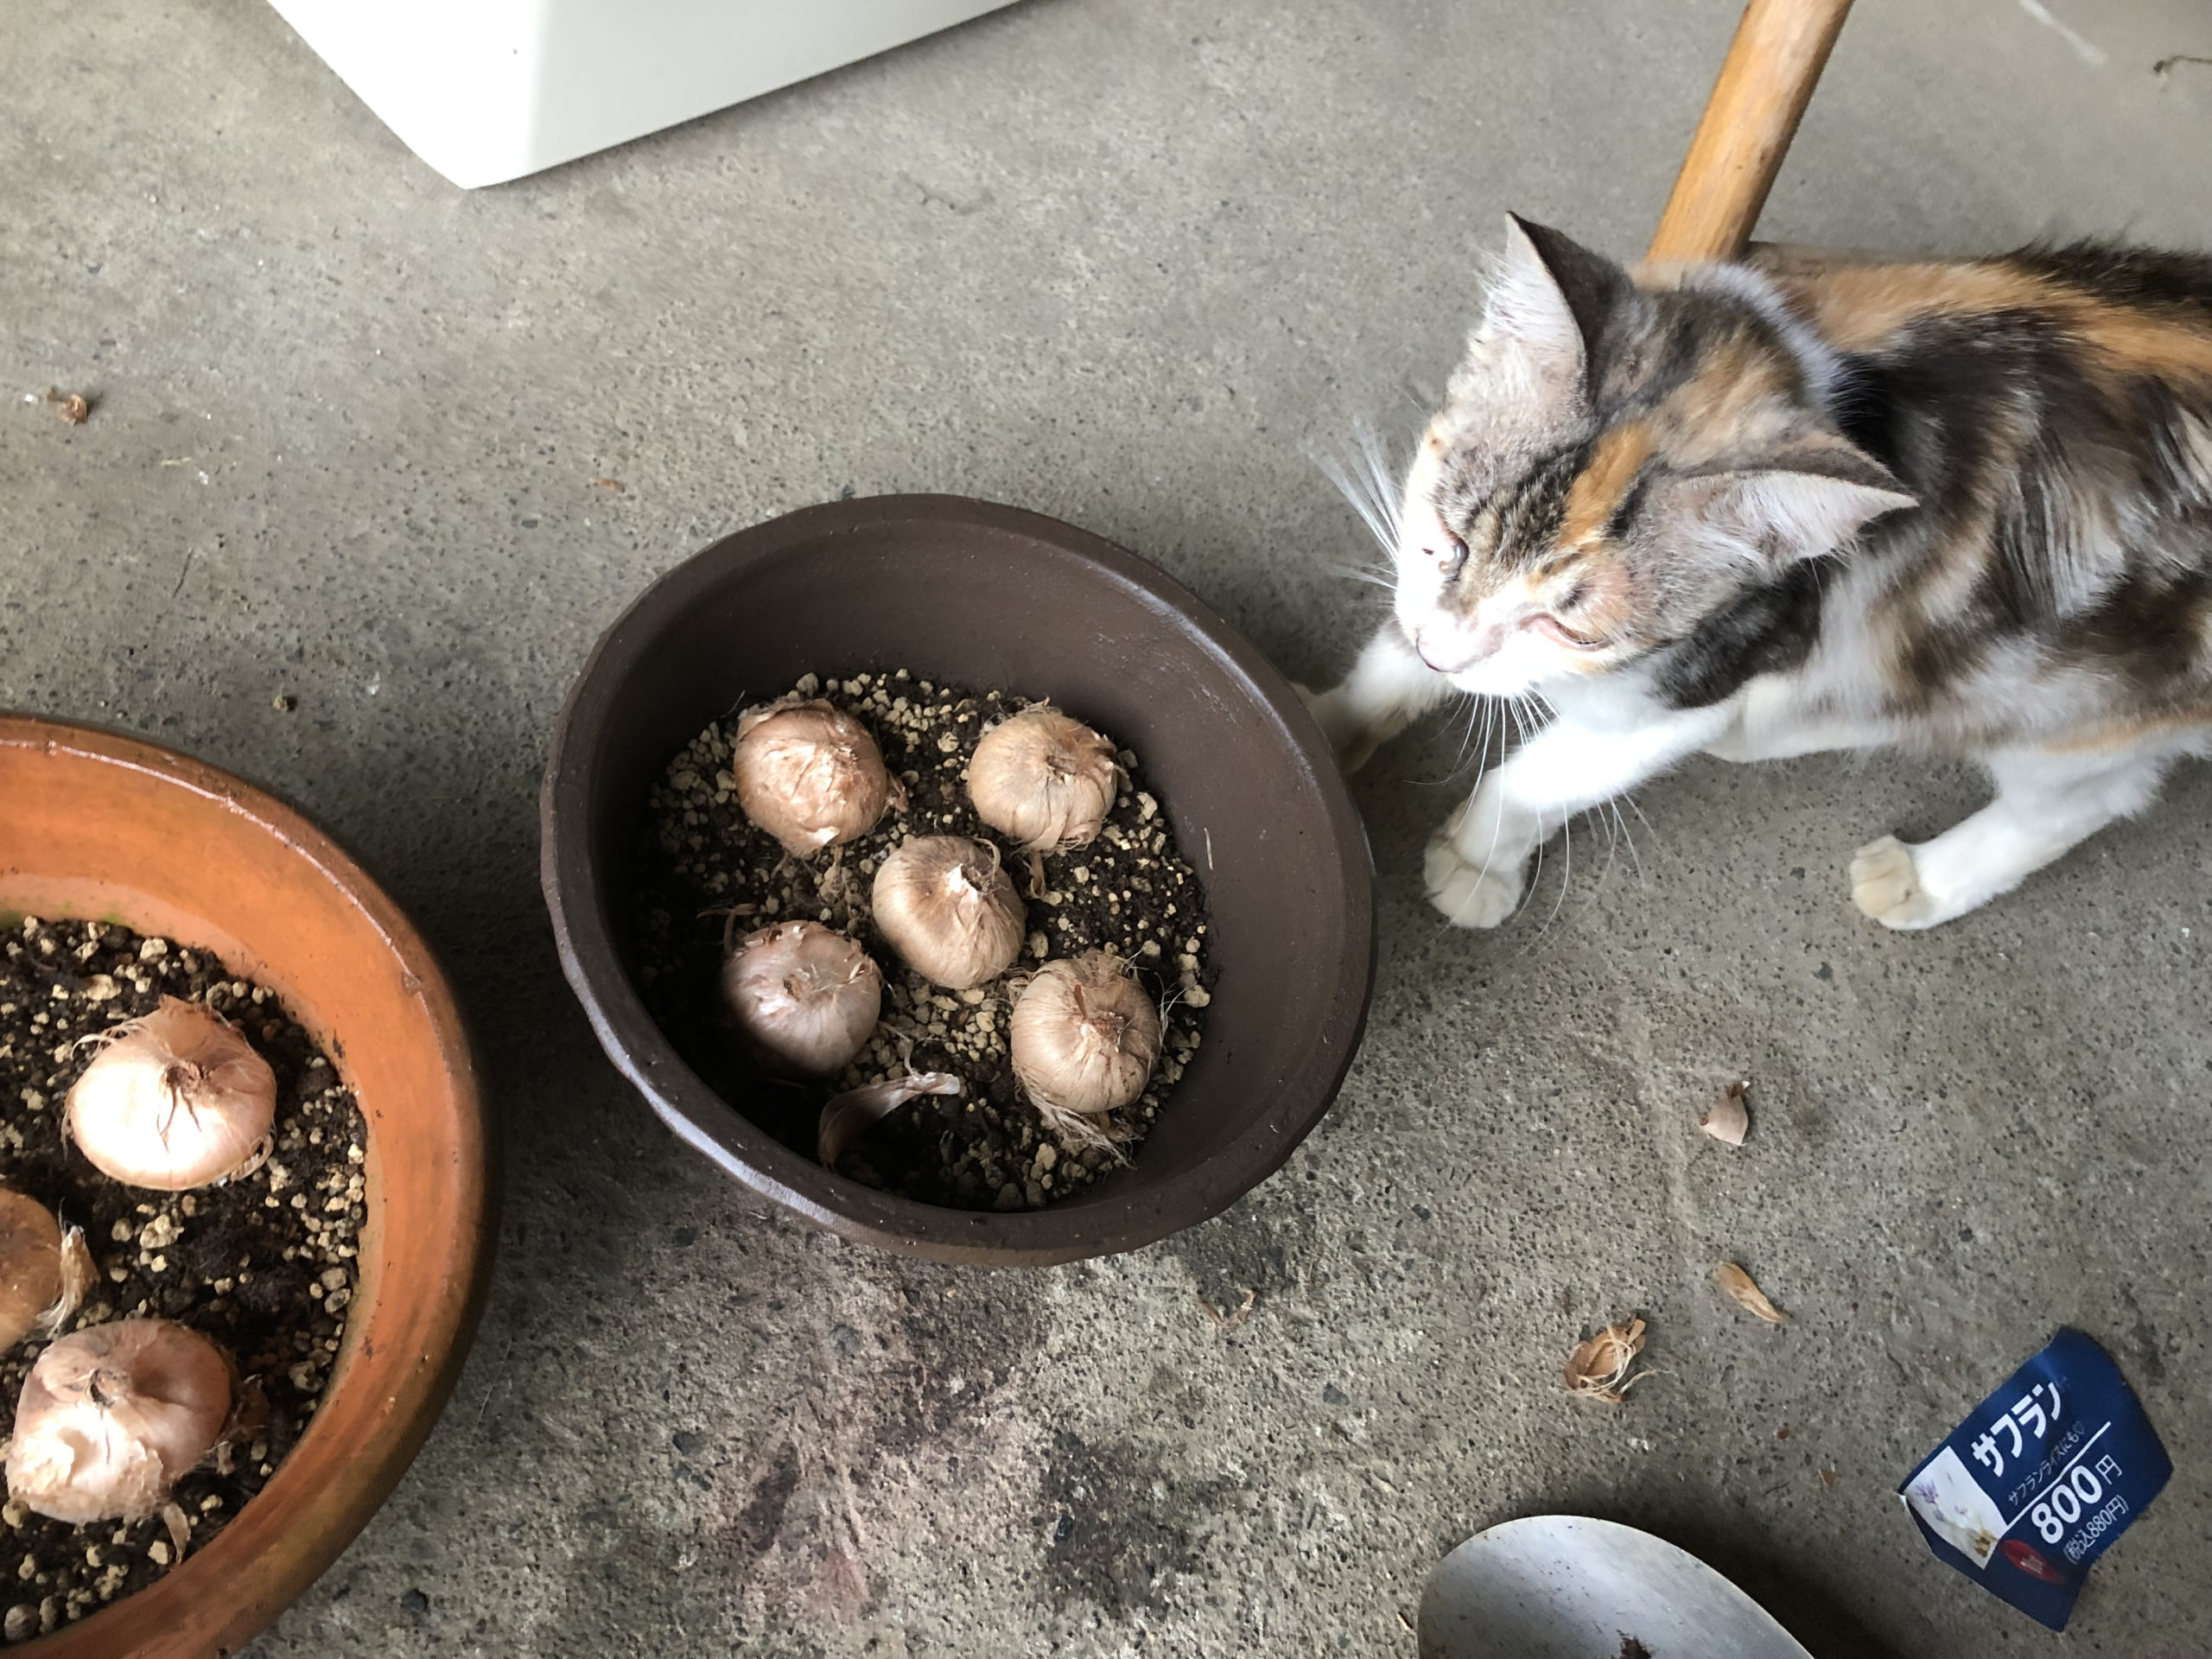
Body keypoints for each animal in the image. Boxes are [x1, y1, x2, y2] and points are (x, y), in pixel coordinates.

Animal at [1303, 216, 2212, 930]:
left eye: (1567, 625)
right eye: (1449, 539)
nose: (1447, 652)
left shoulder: (1700, 683)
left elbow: (1542, 779)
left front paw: (1477, 857)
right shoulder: (1425, 595)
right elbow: (1392, 661)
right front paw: (1329, 724)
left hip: (2075, 701)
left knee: (2092, 794)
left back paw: (1924, 878)